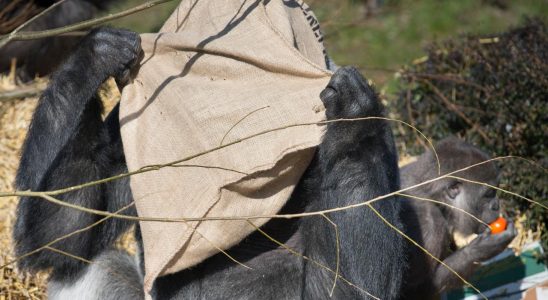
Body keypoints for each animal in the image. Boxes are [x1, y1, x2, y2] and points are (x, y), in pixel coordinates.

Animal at [11, 27, 406, 298]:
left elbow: (355, 287)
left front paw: (352, 116)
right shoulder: (134, 130)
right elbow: (64, 239)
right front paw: (90, 60)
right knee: (90, 266)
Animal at [400, 137, 516, 298]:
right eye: (488, 194)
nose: (496, 206)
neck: (433, 195)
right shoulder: (430, 224)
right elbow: (413, 289)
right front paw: (478, 251)